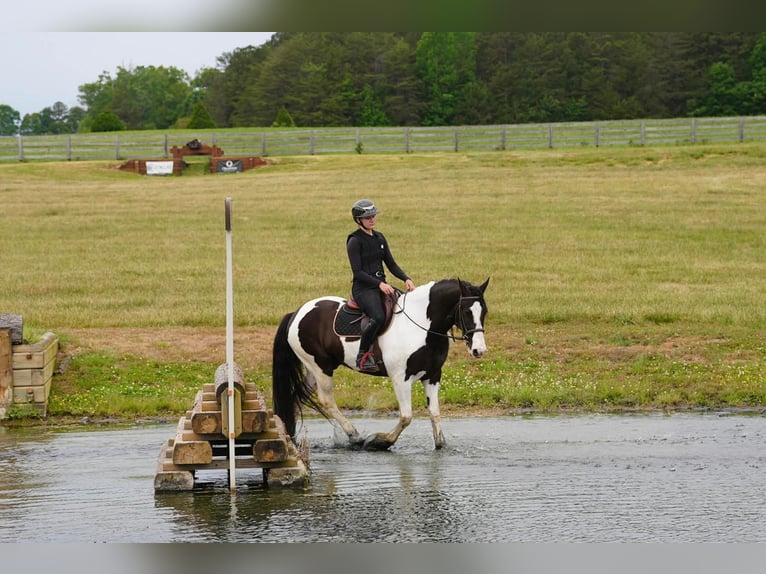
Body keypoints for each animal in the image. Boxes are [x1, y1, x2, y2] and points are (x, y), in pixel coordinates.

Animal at [271, 277, 489, 450]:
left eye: (484, 312)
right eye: (466, 311)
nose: (479, 350)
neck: (422, 326)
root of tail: (296, 313)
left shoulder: (433, 375)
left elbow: (434, 413)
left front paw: (440, 445)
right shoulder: (400, 378)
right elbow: (406, 416)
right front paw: (380, 441)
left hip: (316, 368)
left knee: (297, 396)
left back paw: (292, 438)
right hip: (320, 366)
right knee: (326, 400)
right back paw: (354, 436)